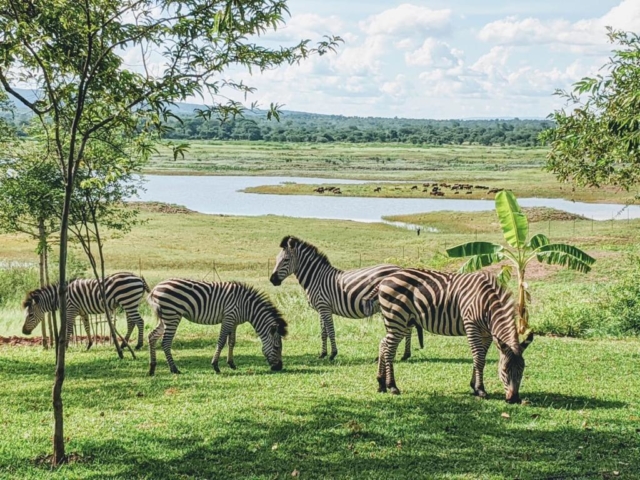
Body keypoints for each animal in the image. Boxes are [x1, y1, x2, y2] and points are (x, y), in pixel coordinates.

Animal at [22, 274, 150, 348]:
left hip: (129, 302)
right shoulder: (82, 312)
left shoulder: (71, 310)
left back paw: (139, 345)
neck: (60, 297)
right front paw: (89, 344)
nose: (24, 332)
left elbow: (69, 329)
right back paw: (124, 344)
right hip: (130, 303)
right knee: (132, 322)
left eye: (30, 315)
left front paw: (66, 346)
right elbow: (86, 326)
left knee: (140, 321)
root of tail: (139, 278)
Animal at [146, 280, 286, 376]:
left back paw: (152, 368)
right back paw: (174, 369)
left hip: (166, 317)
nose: (279, 367)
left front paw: (231, 364)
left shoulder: (234, 322)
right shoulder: (228, 317)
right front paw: (215, 366)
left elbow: (232, 342)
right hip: (172, 315)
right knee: (165, 342)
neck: (247, 306)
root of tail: (156, 288)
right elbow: (221, 341)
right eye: (276, 347)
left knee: (152, 336)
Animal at [268, 236, 418, 360]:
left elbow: (331, 331)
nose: (272, 280)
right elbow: (323, 332)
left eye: (286, 260)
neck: (316, 278)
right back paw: (405, 354)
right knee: (406, 328)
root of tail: (401, 268)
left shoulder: (324, 307)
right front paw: (323, 354)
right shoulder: (321, 309)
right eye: (276, 259)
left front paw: (333, 354)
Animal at [372, 268, 532, 404]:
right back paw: (392, 386)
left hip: (403, 322)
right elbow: (479, 358)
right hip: (397, 319)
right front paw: (480, 390)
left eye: (522, 370)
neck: (487, 305)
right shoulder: (471, 325)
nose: (514, 399)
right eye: (504, 370)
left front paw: (474, 386)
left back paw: (381, 383)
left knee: (383, 344)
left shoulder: (486, 334)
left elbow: (480, 358)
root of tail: (385, 279)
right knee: (389, 350)